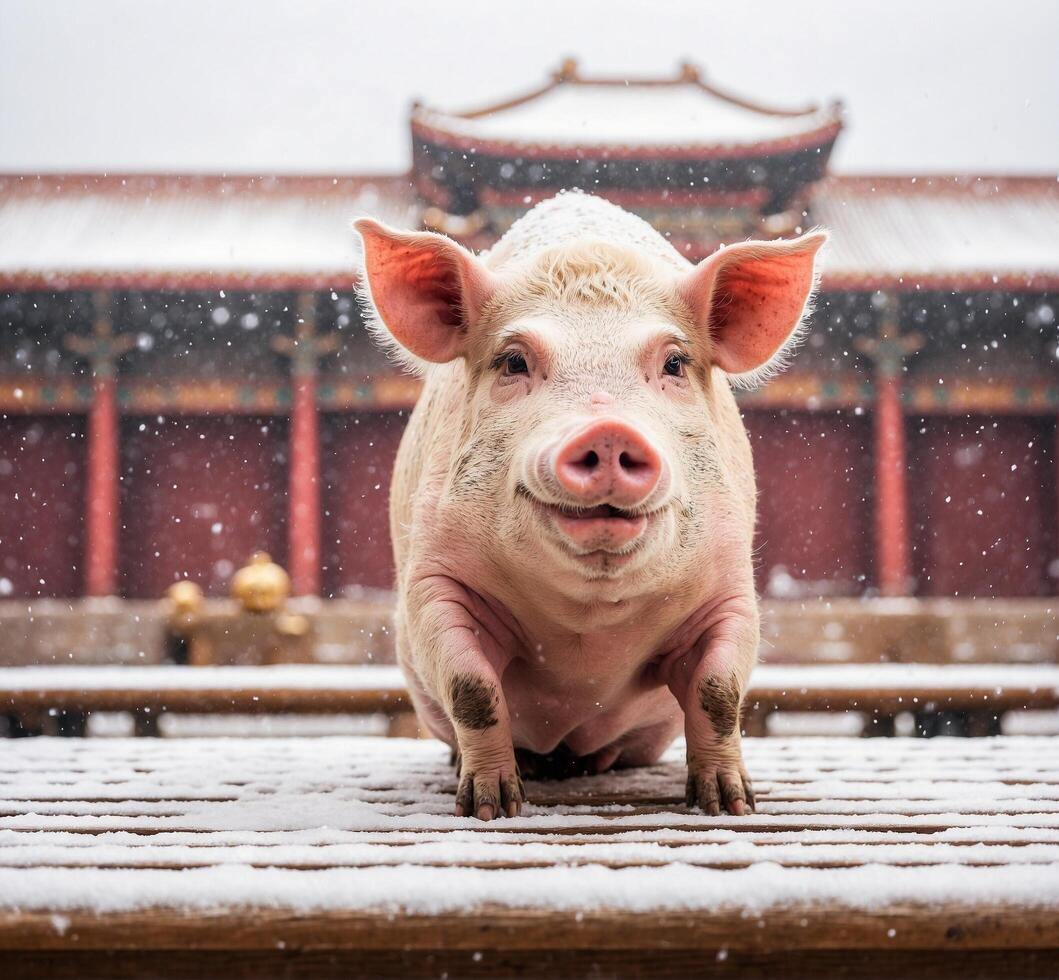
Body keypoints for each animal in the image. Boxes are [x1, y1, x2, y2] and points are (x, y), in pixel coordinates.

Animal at [355, 190, 826, 817]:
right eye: (513, 361)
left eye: (674, 363)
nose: (607, 430)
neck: (588, 638)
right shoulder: (433, 582)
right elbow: (472, 688)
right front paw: (491, 806)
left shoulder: (730, 587)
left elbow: (718, 692)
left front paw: (732, 804)